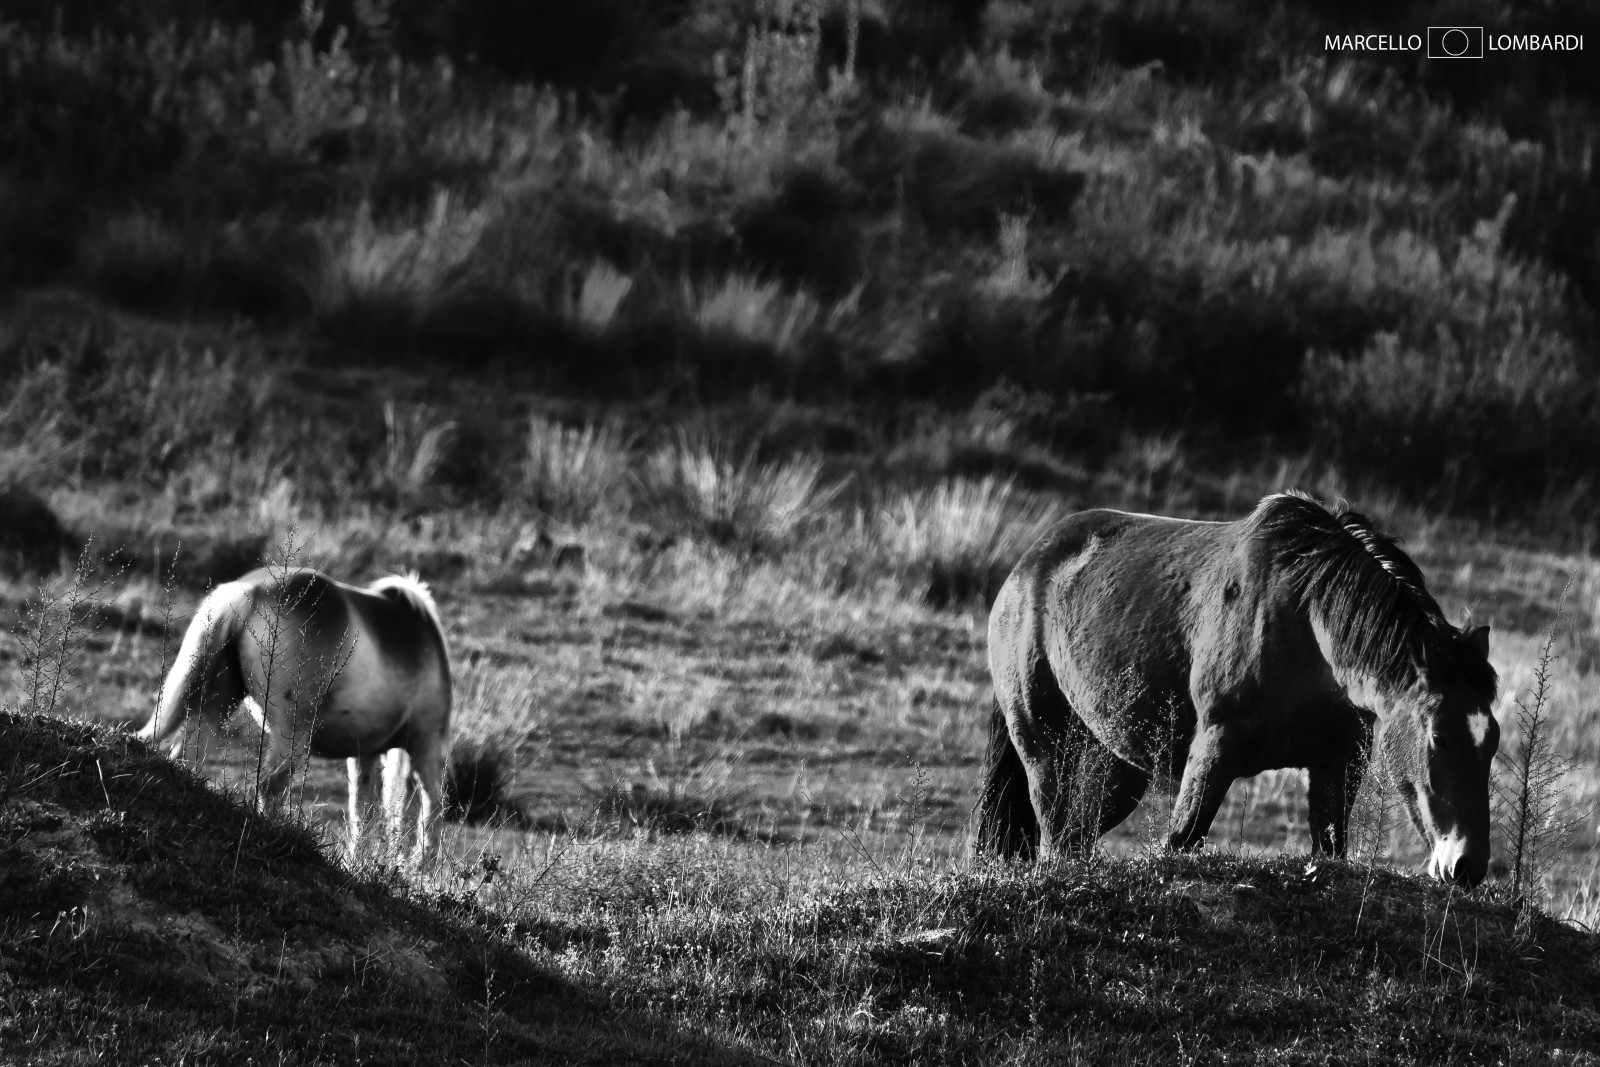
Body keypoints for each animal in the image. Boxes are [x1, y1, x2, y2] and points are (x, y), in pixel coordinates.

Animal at [139, 572, 451, 863]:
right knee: (271, 785)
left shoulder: (364, 751)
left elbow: (362, 808)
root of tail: (247, 594)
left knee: (190, 756)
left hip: (217, 704)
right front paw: (418, 865)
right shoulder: (425, 742)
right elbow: (432, 803)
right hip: (293, 733)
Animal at [972, 492, 1497, 883]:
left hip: (1118, 762)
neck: (1307, 622)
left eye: (1491, 742)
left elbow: (1329, 847)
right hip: (1044, 746)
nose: (1466, 866)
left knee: (1075, 839)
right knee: (1054, 832)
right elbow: (1180, 841)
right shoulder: (1214, 748)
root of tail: (1026, 566)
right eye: (1439, 737)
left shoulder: (1339, 763)